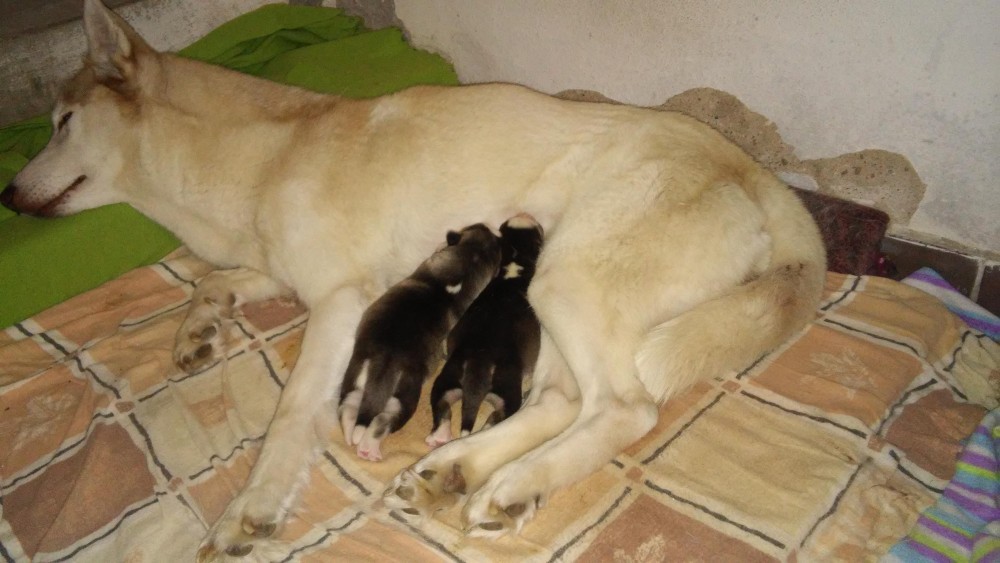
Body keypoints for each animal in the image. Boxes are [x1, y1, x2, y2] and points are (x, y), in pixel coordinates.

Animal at [338, 223, 502, 461]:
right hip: (401, 398)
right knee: (379, 422)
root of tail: (385, 360)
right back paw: (369, 448)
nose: (491, 228)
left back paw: (355, 436)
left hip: (357, 383)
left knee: (353, 412)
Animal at [426, 214, 543, 447]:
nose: (525, 214)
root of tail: (478, 364)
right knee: (495, 421)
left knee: (442, 409)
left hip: (446, 383)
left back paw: (439, 437)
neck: (513, 263)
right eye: (538, 230)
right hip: (506, 396)